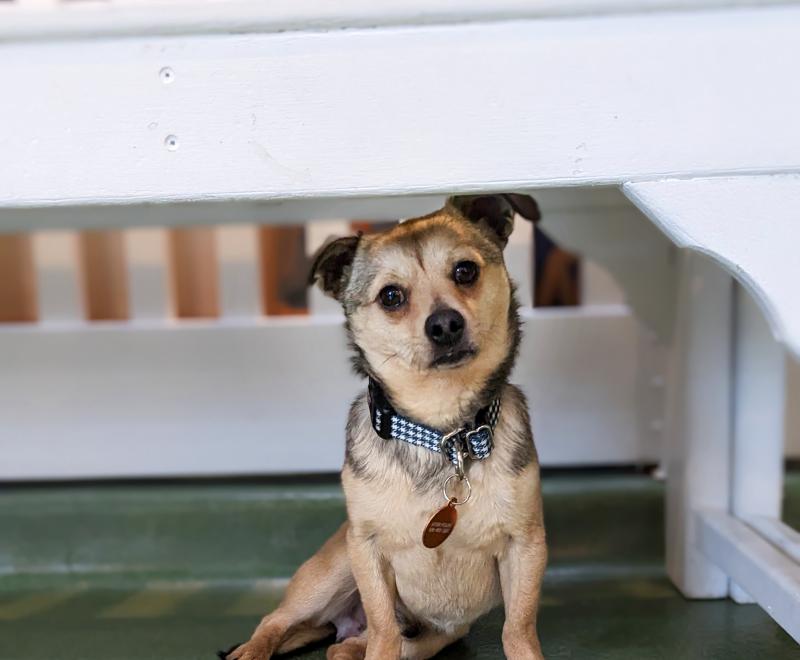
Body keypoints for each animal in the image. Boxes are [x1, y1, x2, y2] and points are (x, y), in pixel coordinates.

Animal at [225, 193, 552, 656]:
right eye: (391, 296)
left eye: (465, 271)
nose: (445, 323)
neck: (440, 433)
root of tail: (340, 624)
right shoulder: (366, 548)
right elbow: (383, 628)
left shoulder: (525, 546)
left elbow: (517, 627)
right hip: (330, 572)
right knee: (278, 621)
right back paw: (253, 650)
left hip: (436, 636)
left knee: (359, 644)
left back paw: (345, 650)